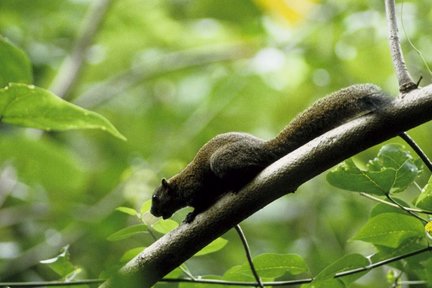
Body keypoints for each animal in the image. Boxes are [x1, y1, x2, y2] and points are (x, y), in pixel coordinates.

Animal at [150, 83, 390, 223]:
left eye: (155, 197)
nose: (152, 212)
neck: (178, 185)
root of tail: (265, 148)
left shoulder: (195, 188)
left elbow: (202, 203)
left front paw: (192, 214)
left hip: (222, 162)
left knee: (254, 166)